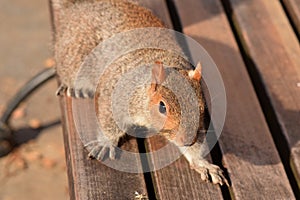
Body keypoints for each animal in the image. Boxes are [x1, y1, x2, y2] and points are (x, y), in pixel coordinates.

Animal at [54, 0, 229, 186]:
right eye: (162, 107)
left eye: (202, 108)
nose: (187, 141)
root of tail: (78, 7)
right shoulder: (118, 95)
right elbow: (108, 120)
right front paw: (106, 142)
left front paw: (201, 163)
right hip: (76, 56)